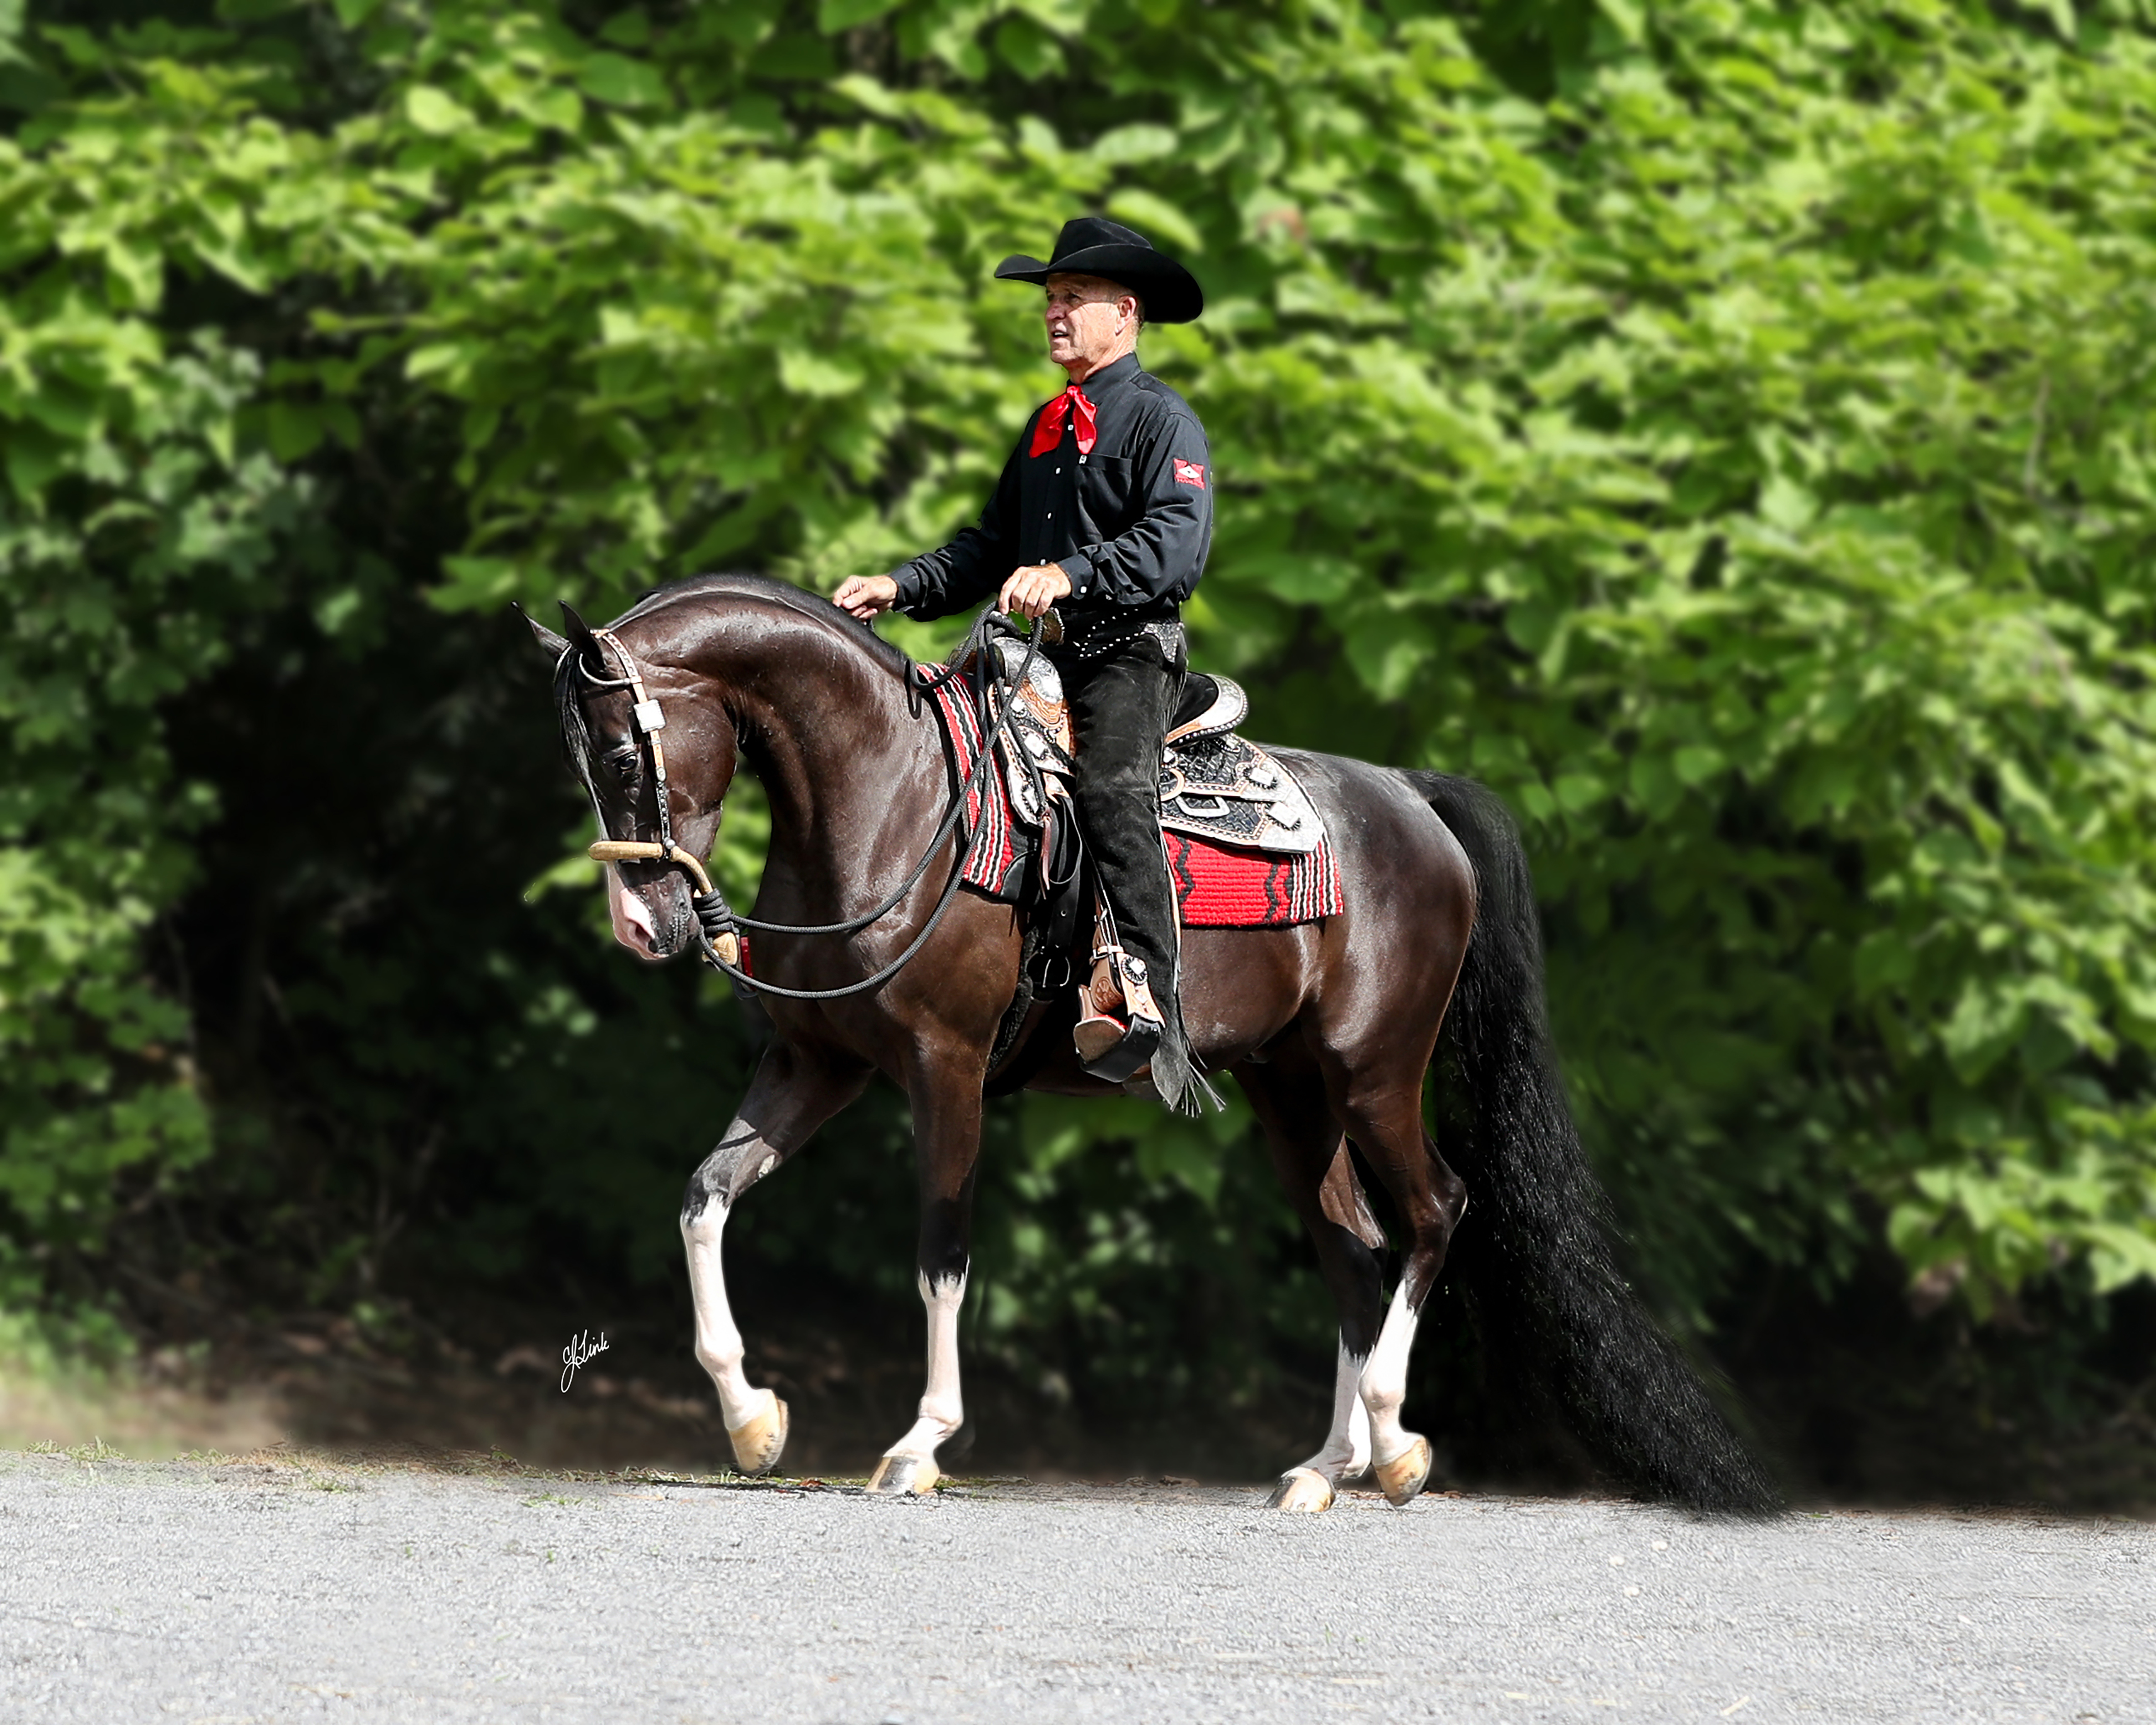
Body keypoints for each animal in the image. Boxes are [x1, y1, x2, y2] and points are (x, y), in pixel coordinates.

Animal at [524, 573, 1776, 1513]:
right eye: (578, 763)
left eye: (625, 757)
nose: (643, 927)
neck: (894, 802)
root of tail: (1414, 798)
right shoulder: (814, 1066)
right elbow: (703, 1197)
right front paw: (752, 1421)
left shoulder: (946, 1067)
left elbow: (941, 1253)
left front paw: (920, 1446)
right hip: (1290, 1095)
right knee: (1352, 1246)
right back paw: (1324, 1469)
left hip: (1375, 1075)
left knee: (1435, 1212)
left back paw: (1395, 1444)